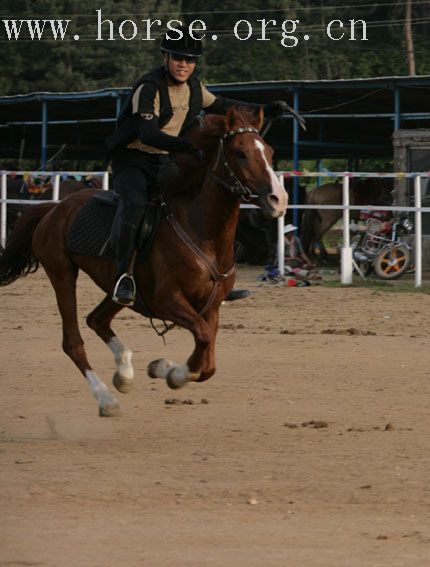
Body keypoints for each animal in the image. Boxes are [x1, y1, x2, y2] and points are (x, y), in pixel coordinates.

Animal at [0, 107, 288, 418]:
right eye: (240, 152)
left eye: (269, 152)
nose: (278, 199)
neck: (202, 234)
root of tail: (54, 209)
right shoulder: (167, 301)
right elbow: (202, 340)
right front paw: (171, 373)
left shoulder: (210, 307)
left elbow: (207, 361)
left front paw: (164, 369)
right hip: (63, 275)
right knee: (73, 342)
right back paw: (106, 399)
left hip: (119, 288)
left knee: (97, 320)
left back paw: (124, 375)